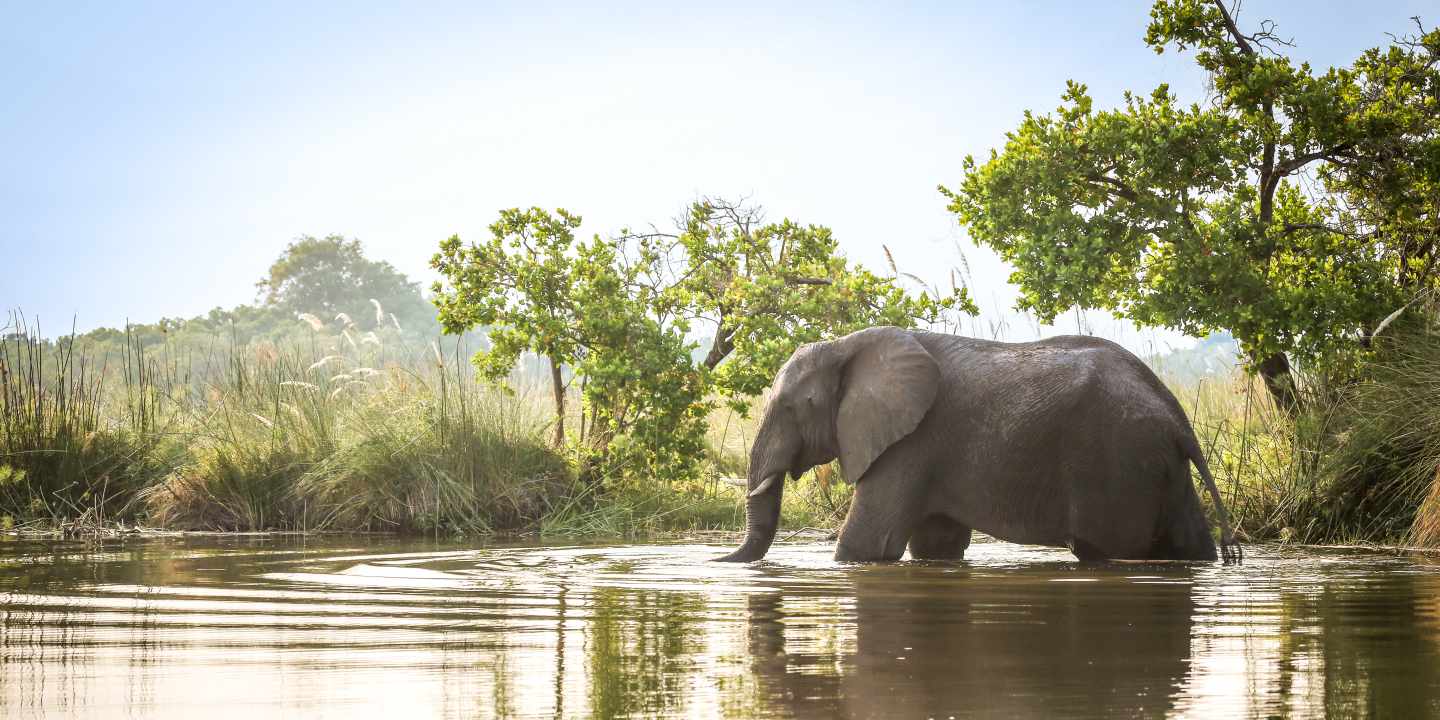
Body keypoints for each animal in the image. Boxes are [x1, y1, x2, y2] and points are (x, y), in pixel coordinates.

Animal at [716, 326, 1239, 563]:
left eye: (793, 406)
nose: (716, 561)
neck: (849, 345)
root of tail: (1178, 418)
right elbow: (935, 546)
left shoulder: (910, 443)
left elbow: (868, 544)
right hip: (1162, 467)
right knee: (1189, 541)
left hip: (1117, 462)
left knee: (1106, 547)